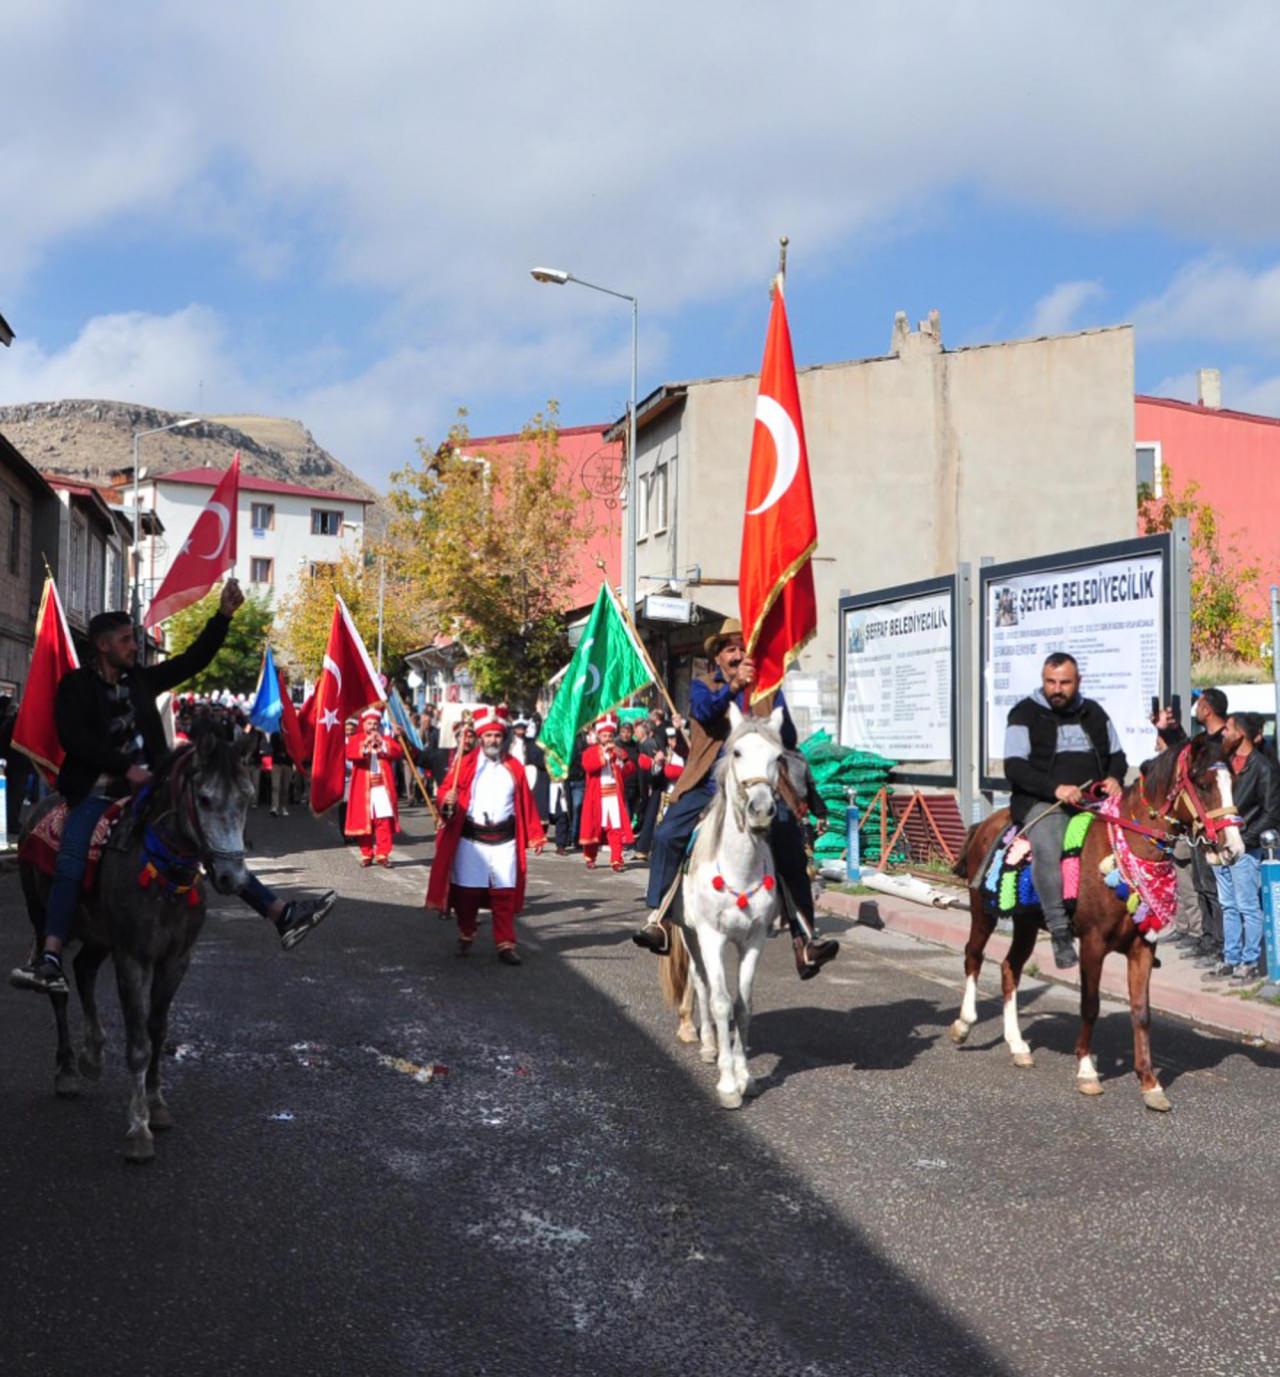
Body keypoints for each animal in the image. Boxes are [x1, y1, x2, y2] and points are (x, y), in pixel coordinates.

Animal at [18, 722, 254, 1161]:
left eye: (247, 797)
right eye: (204, 798)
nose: (232, 877)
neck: (163, 873)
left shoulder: (176, 959)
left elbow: (158, 1030)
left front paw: (157, 1105)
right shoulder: (132, 957)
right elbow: (139, 1042)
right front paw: (138, 1129)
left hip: (99, 935)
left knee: (84, 969)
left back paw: (93, 1053)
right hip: (43, 917)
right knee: (59, 985)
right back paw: (68, 1070)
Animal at [661, 704, 784, 1109]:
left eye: (778, 757)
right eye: (737, 753)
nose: (761, 810)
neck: (739, 868)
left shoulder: (754, 940)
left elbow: (743, 1005)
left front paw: (747, 1077)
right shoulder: (711, 937)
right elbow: (720, 1002)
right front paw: (729, 1084)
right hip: (689, 935)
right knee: (700, 984)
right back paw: (709, 1046)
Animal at [949, 733, 1243, 1110]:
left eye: (1232, 782)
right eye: (1204, 785)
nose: (1233, 848)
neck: (1127, 847)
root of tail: (985, 824)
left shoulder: (1142, 947)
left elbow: (1141, 1011)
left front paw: (1150, 1083)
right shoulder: (1092, 943)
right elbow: (1089, 1005)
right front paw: (1087, 1071)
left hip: (1026, 924)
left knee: (1009, 968)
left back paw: (1017, 1045)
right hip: (982, 910)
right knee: (973, 955)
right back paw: (964, 1024)